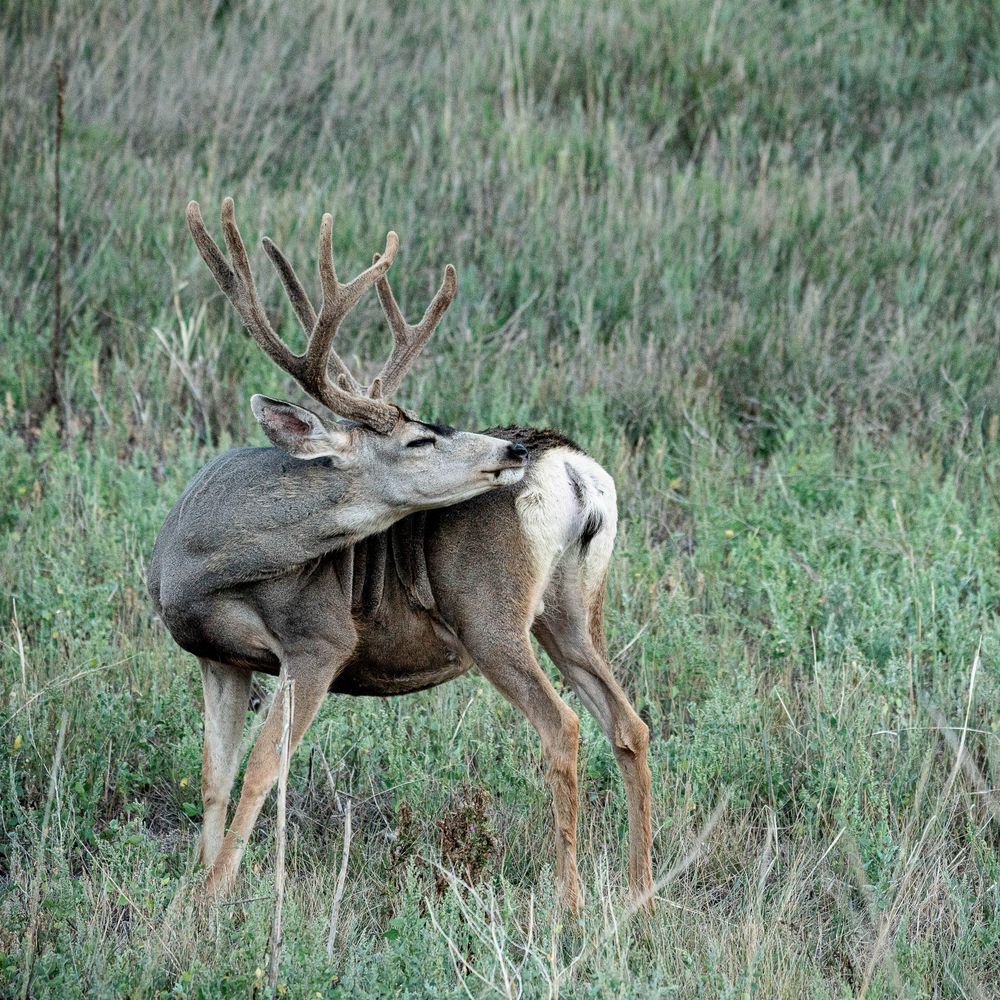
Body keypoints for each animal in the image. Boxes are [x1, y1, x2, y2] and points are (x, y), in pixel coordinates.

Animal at [147, 198, 653, 914]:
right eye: (418, 439)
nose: (512, 452)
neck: (205, 564)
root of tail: (575, 468)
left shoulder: (319, 639)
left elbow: (264, 767)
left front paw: (215, 893)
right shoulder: (217, 657)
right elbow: (214, 775)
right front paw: (196, 882)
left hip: (490, 617)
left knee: (564, 728)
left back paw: (570, 905)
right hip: (573, 612)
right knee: (628, 723)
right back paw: (640, 895)